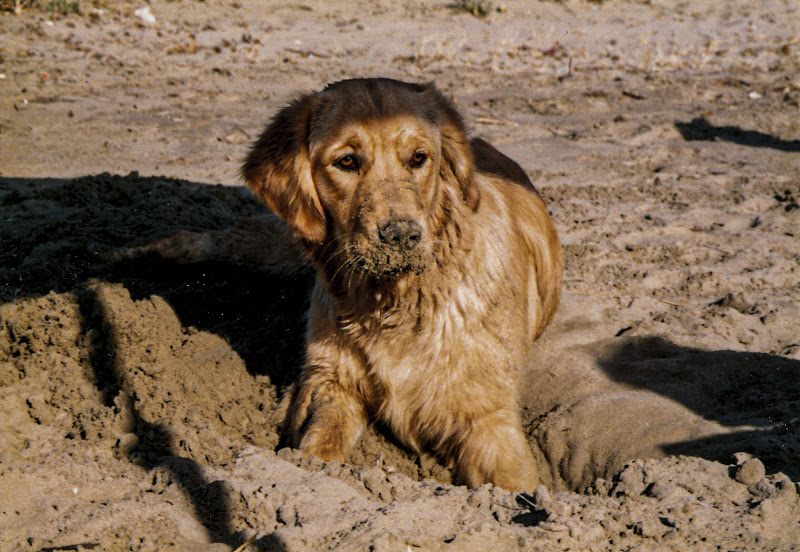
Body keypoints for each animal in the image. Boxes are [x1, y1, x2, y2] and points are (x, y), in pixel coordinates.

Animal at [244, 77, 564, 492]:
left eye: (418, 158)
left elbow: (514, 482)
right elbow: (318, 445)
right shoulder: (331, 383)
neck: (395, 303)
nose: (401, 235)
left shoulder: (488, 415)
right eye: (347, 161)